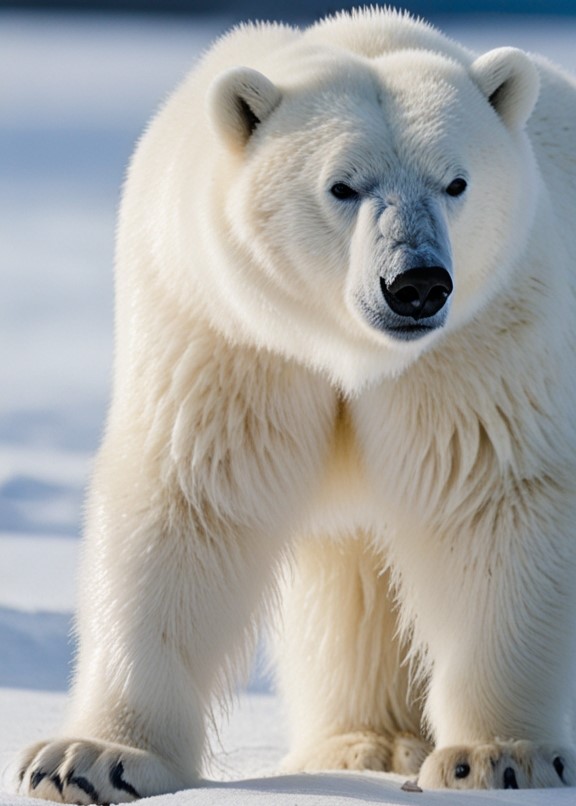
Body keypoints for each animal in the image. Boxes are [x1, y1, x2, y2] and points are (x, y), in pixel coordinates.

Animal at [15, 6, 576, 800]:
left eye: (456, 182)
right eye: (342, 186)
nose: (416, 283)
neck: (350, 353)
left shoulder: (485, 333)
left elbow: (492, 496)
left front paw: (501, 756)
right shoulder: (229, 333)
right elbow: (189, 497)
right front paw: (90, 759)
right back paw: (366, 743)